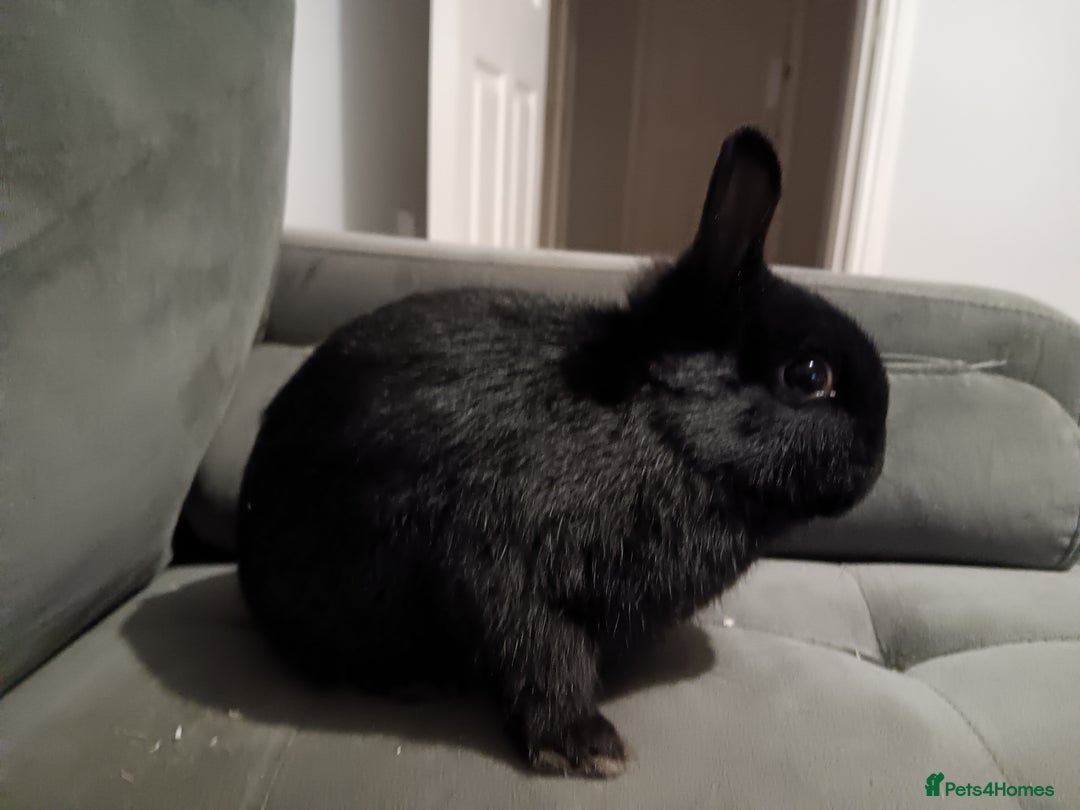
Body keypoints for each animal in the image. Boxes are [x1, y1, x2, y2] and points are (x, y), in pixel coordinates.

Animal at [236, 127, 889, 778]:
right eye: (810, 375)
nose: (878, 458)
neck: (657, 427)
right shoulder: (510, 571)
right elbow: (543, 657)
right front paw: (587, 749)